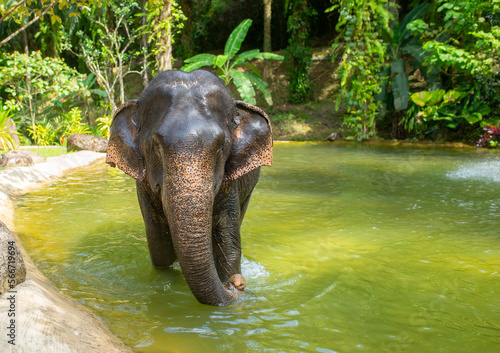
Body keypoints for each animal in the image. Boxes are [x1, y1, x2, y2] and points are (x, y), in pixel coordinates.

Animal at [105, 69, 274, 306]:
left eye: (222, 146)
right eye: (156, 145)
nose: (237, 283)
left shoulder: (229, 183)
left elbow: (227, 246)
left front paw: (230, 274)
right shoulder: (144, 185)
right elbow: (160, 247)